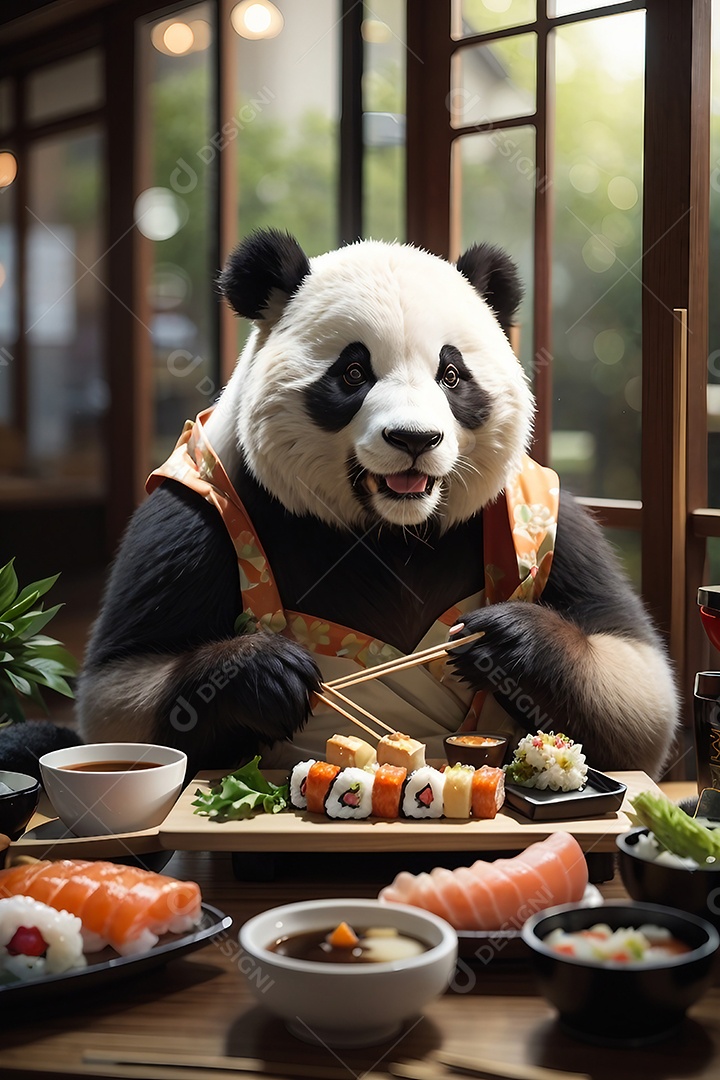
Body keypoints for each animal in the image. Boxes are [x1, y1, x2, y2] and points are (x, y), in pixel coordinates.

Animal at [66, 232, 677, 781]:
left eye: (450, 374)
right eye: (354, 372)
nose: (414, 438)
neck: (391, 529)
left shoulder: (549, 512)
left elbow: (640, 690)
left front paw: (504, 640)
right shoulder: (196, 507)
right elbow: (120, 687)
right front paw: (268, 673)